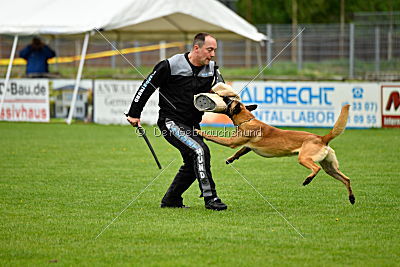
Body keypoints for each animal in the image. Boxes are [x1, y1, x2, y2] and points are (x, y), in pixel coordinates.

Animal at [197, 98, 356, 205]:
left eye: (230, 102)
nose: (225, 97)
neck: (247, 120)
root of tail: (322, 138)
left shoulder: (231, 142)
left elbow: (215, 137)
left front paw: (199, 131)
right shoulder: (247, 146)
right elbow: (239, 152)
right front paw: (230, 159)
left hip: (304, 159)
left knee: (316, 169)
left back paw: (308, 180)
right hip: (330, 168)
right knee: (346, 179)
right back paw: (352, 198)